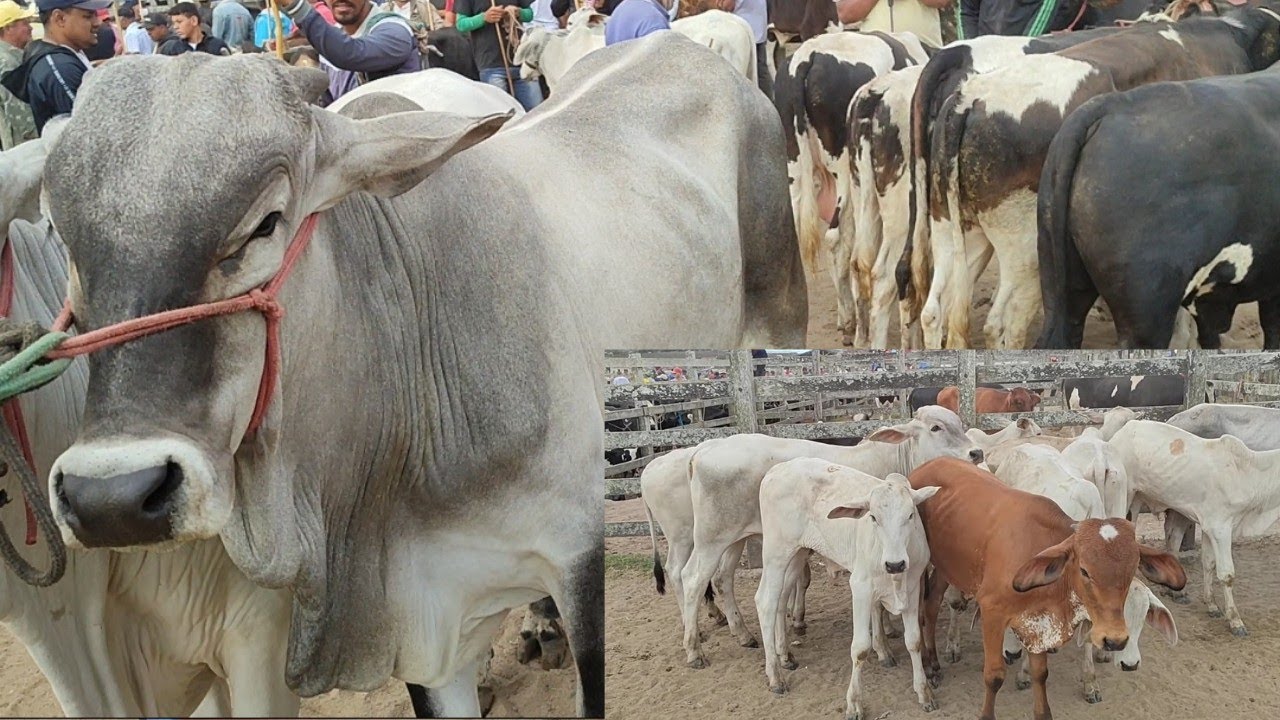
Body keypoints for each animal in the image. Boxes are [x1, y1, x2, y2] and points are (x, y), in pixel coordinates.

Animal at [39, 35, 806, 718]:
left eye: (265, 223)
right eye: (63, 238)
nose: (111, 497)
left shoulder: (579, 563)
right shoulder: (424, 628)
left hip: (781, 310)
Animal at [677, 406, 982, 668]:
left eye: (959, 424)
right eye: (936, 427)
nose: (976, 452)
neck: (893, 459)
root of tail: (704, 448)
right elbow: (877, 607)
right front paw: (882, 646)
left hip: (736, 538)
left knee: (722, 579)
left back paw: (743, 634)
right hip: (711, 538)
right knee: (692, 579)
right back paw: (694, 650)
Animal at [755, 461, 938, 719]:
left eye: (910, 515)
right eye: (873, 517)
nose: (895, 564)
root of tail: (777, 469)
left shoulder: (912, 588)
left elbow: (914, 641)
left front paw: (924, 692)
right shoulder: (860, 587)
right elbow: (860, 649)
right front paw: (854, 704)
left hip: (798, 554)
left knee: (781, 600)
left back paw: (785, 656)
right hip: (776, 552)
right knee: (766, 602)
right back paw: (775, 676)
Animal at [910, 457, 1187, 720]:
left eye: (1131, 572)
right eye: (1084, 570)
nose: (1114, 639)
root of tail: (927, 465)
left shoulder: (1039, 624)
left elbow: (1040, 673)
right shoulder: (992, 613)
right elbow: (994, 675)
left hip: (947, 567)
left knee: (932, 603)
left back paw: (933, 664)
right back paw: (929, 666)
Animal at [1110, 419, 1280, 636]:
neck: (1247, 473)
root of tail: (1126, 428)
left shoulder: (1209, 527)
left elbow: (1208, 563)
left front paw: (1212, 605)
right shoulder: (1221, 528)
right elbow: (1227, 574)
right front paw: (1235, 621)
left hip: (1137, 500)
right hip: (1125, 494)